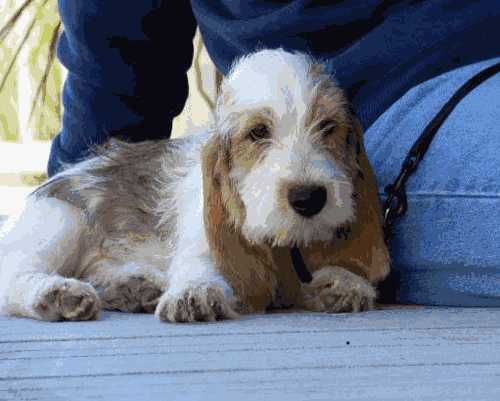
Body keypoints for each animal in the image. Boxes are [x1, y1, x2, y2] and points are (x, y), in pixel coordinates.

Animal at [0, 48, 390, 322]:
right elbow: (202, 262)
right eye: (257, 132)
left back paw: (132, 287)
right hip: (63, 220)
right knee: (13, 275)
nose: (309, 198)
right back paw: (56, 294)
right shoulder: (203, 233)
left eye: (328, 127)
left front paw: (345, 281)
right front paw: (196, 291)